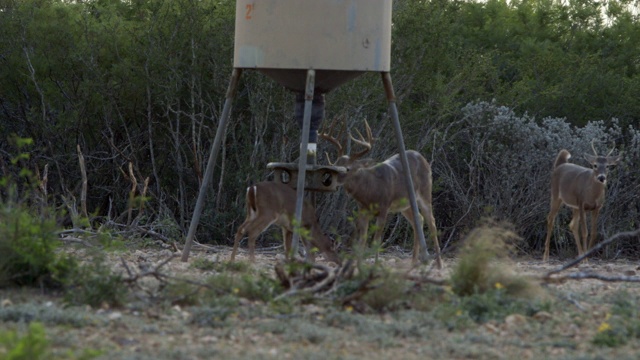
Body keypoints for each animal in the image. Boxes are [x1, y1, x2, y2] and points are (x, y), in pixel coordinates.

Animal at [318, 120, 442, 268]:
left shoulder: (384, 207)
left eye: (347, 168)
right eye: (335, 165)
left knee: (432, 221)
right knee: (418, 219)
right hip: (405, 205)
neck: (370, 192)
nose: (328, 180)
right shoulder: (363, 210)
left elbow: (376, 241)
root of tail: (423, 158)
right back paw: (413, 262)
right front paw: (358, 266)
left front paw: (375, 265)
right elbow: (362, 241)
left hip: (425, 191)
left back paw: (439, 264)